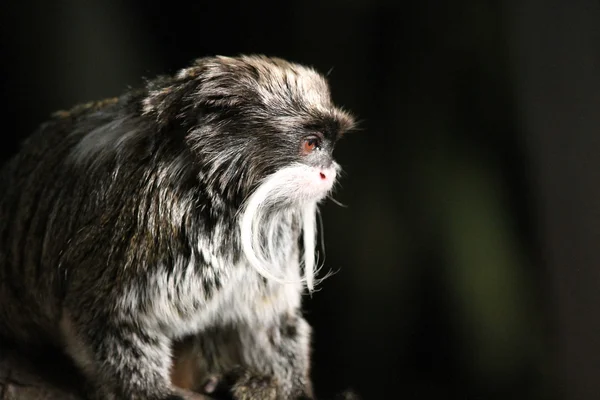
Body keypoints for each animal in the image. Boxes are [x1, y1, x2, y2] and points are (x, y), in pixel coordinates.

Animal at [0, 54, 356, 400]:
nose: (329, 171)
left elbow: (270, 320)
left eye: (329, 147)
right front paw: (146, 390)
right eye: (311, 144)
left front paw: (284, 388)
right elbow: (108, 316)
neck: (217, 197)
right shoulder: (141, 216)